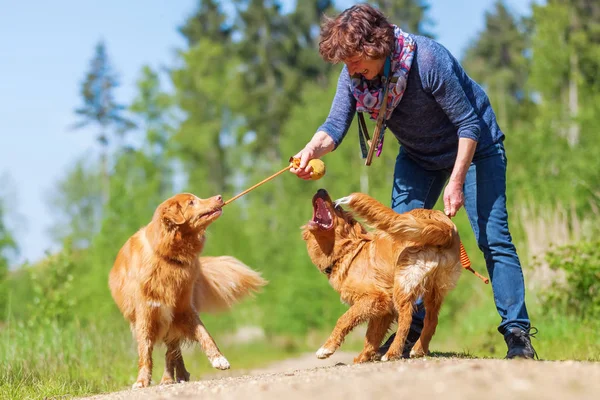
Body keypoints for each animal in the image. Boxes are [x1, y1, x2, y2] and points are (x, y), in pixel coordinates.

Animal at [108, 193, 268, 388]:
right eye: (191, 202)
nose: (219, 197)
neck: (169, 257)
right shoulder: (145, 315)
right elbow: (145, 353)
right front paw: (142, 380)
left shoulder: (183, 309)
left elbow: (204, 334)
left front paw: (219, 359)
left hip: (170, 321)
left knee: (172, 351)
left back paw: (173, 376)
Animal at [302, 190, 462, 362]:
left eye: (337, 209)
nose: (321, 190)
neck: (348, 251)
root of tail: (443, 226)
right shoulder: (384, 309)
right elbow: (372, 336)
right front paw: (363, 357)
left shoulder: (375, 297)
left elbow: (344, 319)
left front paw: (326, 348)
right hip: (433, 290)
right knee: (431, 320)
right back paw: (419, 350)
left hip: (403, 284)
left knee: (407, 318)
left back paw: (392, 353)